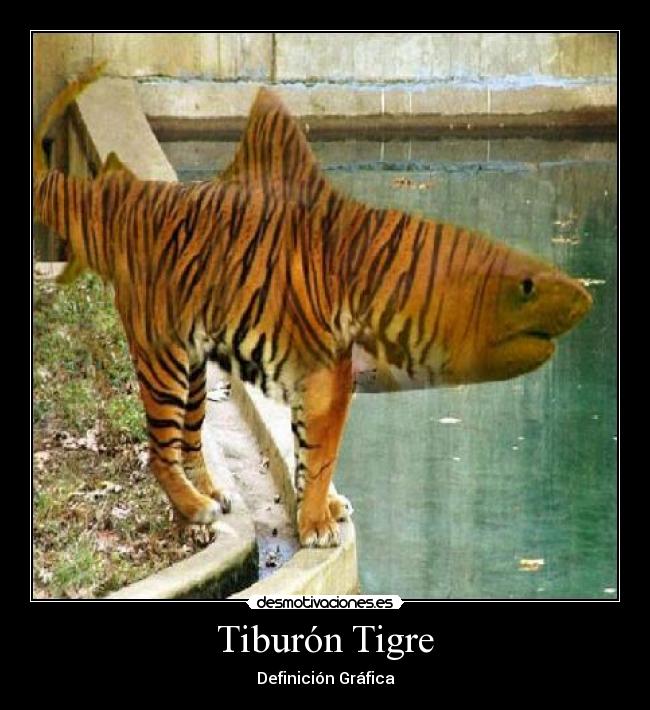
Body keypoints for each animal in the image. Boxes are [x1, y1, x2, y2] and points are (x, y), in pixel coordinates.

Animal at [33, 64, 592, 548]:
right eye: (527, 287)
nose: (586, 299)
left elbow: (308, 453)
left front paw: (320, 509)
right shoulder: (329, 373)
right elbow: (322, 454)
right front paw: (318, 524)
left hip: (192, 366)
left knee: (187, 440)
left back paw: (208, 495)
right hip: (162, 357)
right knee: (157, 451)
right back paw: (197, 509)